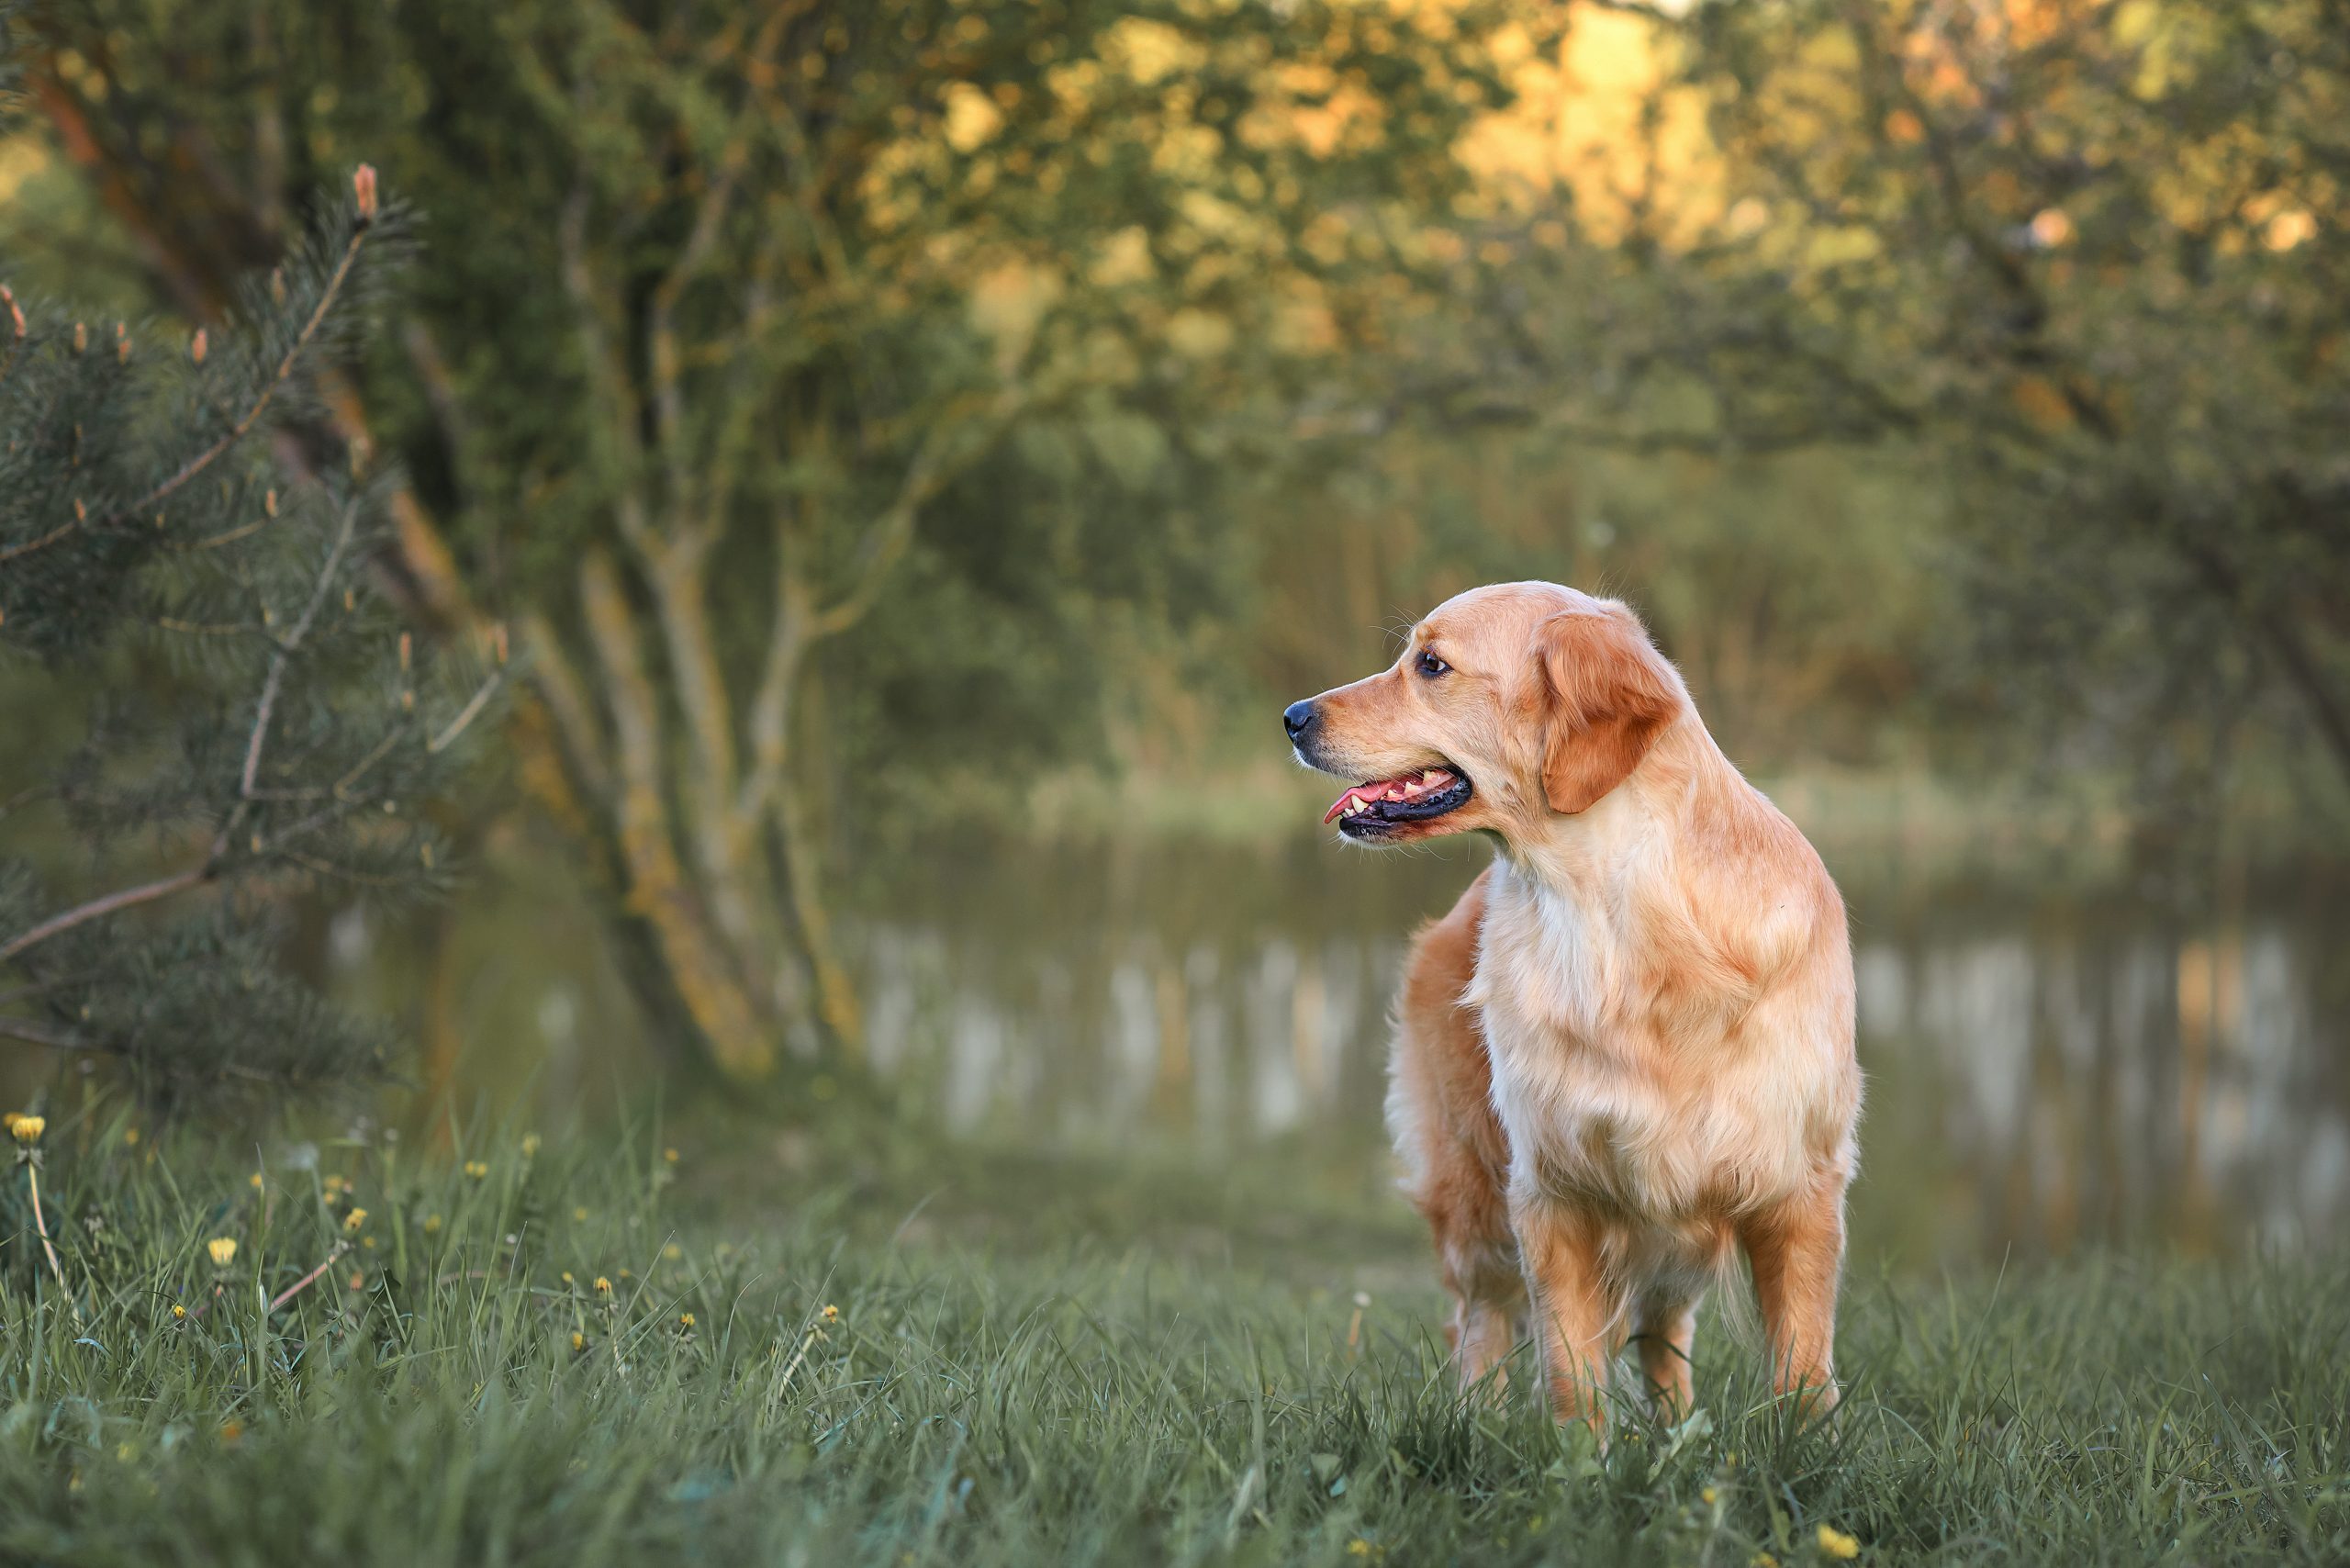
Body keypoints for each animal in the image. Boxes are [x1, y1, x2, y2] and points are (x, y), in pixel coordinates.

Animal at [1287, 585, 1852, 1439]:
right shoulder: (1552, 1192)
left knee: (1663, 1334)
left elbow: (1803, 1366)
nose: (1292, 716)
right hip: (1474, 1195)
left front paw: (1807, 1453)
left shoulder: (1798, 1187)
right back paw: (1478, 1426)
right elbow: (1570, 1373)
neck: (1621, 926)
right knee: (1480, 1324)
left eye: (1431, 664)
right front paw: (1581, 1463)